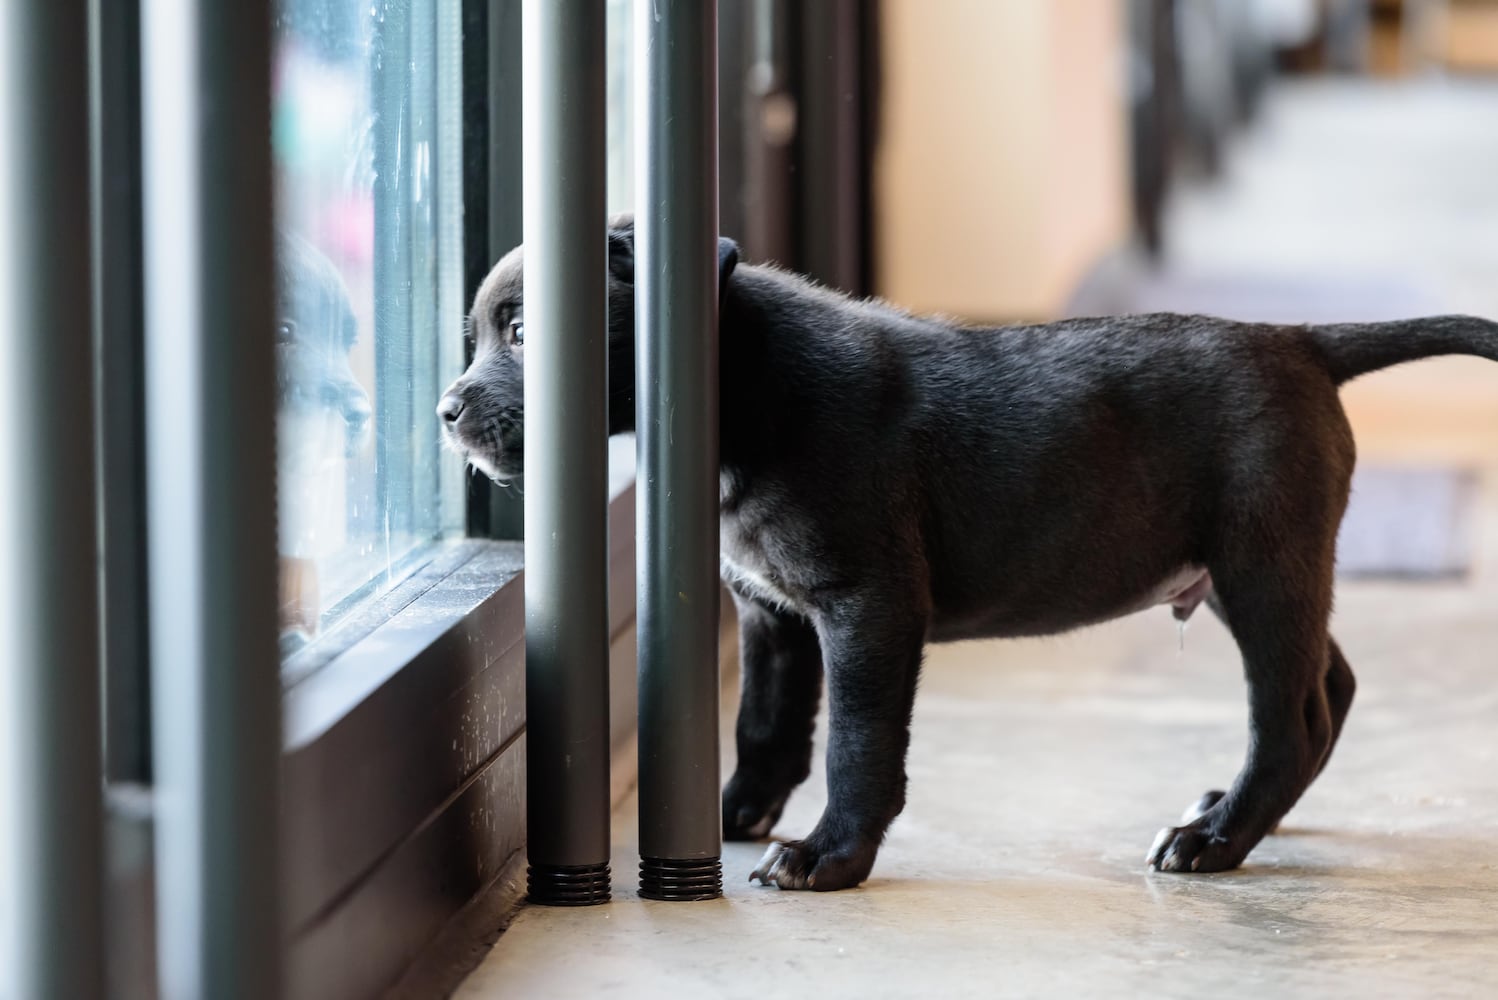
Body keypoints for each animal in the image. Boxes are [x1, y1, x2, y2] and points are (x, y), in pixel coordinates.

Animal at [437, 218, 1498, 892]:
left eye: (524, 331)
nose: (445, 411)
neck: (746, 388)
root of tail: (1304, 343)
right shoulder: (775, 616)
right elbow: (768, 727)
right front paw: (733, 816)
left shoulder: (867, 609)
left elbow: (858, 744)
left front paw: (829, 857)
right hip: (1261, 573)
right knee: (1329, 689)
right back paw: (1231, 812)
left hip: (1262, 564)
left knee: (1290, 717)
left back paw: (1216, 838)